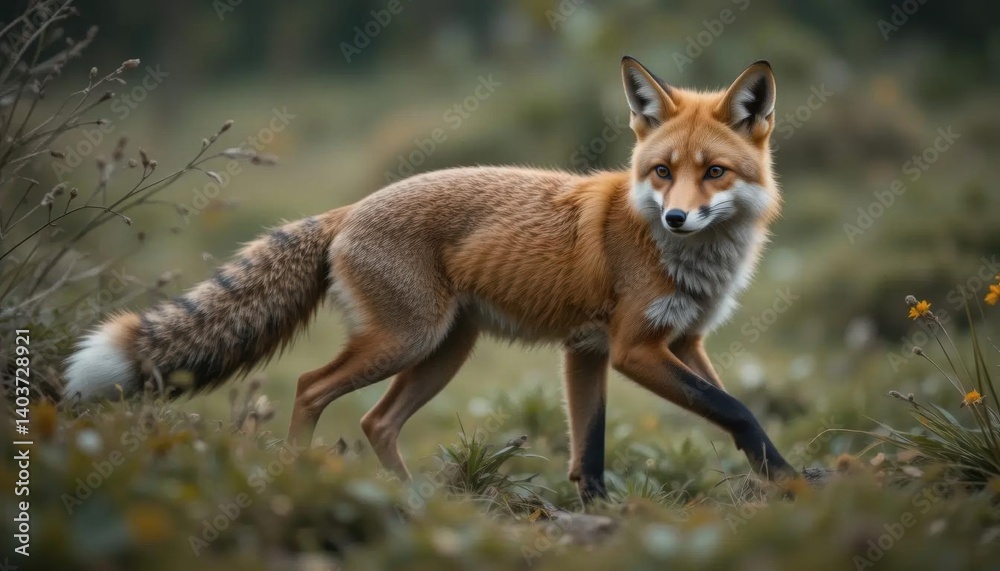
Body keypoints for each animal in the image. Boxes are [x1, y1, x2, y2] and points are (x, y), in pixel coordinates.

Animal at [64, 57, 802, 502]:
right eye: (661, 172)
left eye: (714, 173)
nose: (677, 216)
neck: (683, 257)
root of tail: (348, 209)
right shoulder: (632, 349)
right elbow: (736, 409)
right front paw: (797, 482)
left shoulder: (649, 346)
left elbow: (601, 443)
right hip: (409, 341)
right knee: (310, 387)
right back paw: (296, 472)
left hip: (446, 350)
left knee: (375, 420)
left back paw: (410, 497)